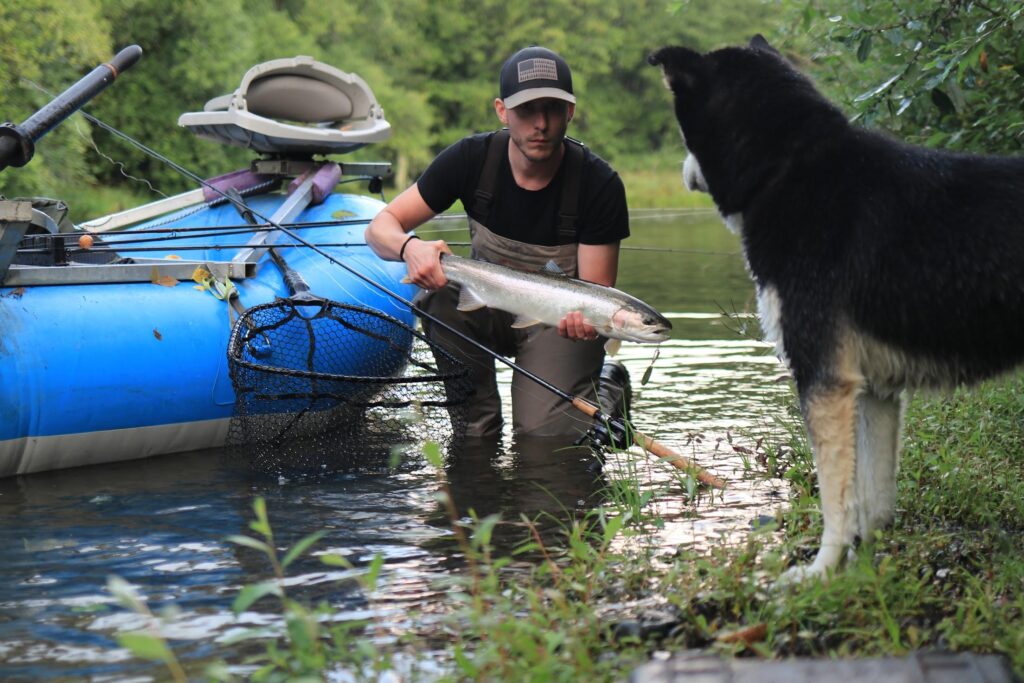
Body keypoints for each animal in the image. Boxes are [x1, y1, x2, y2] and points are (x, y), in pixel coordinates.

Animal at [651, 36, 1024, 581]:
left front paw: (820, 572)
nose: (680, 172)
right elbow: (873, 502)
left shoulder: (824, 379)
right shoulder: (875, 391)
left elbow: (836, 500)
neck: (784, 165)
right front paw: (865, 568)